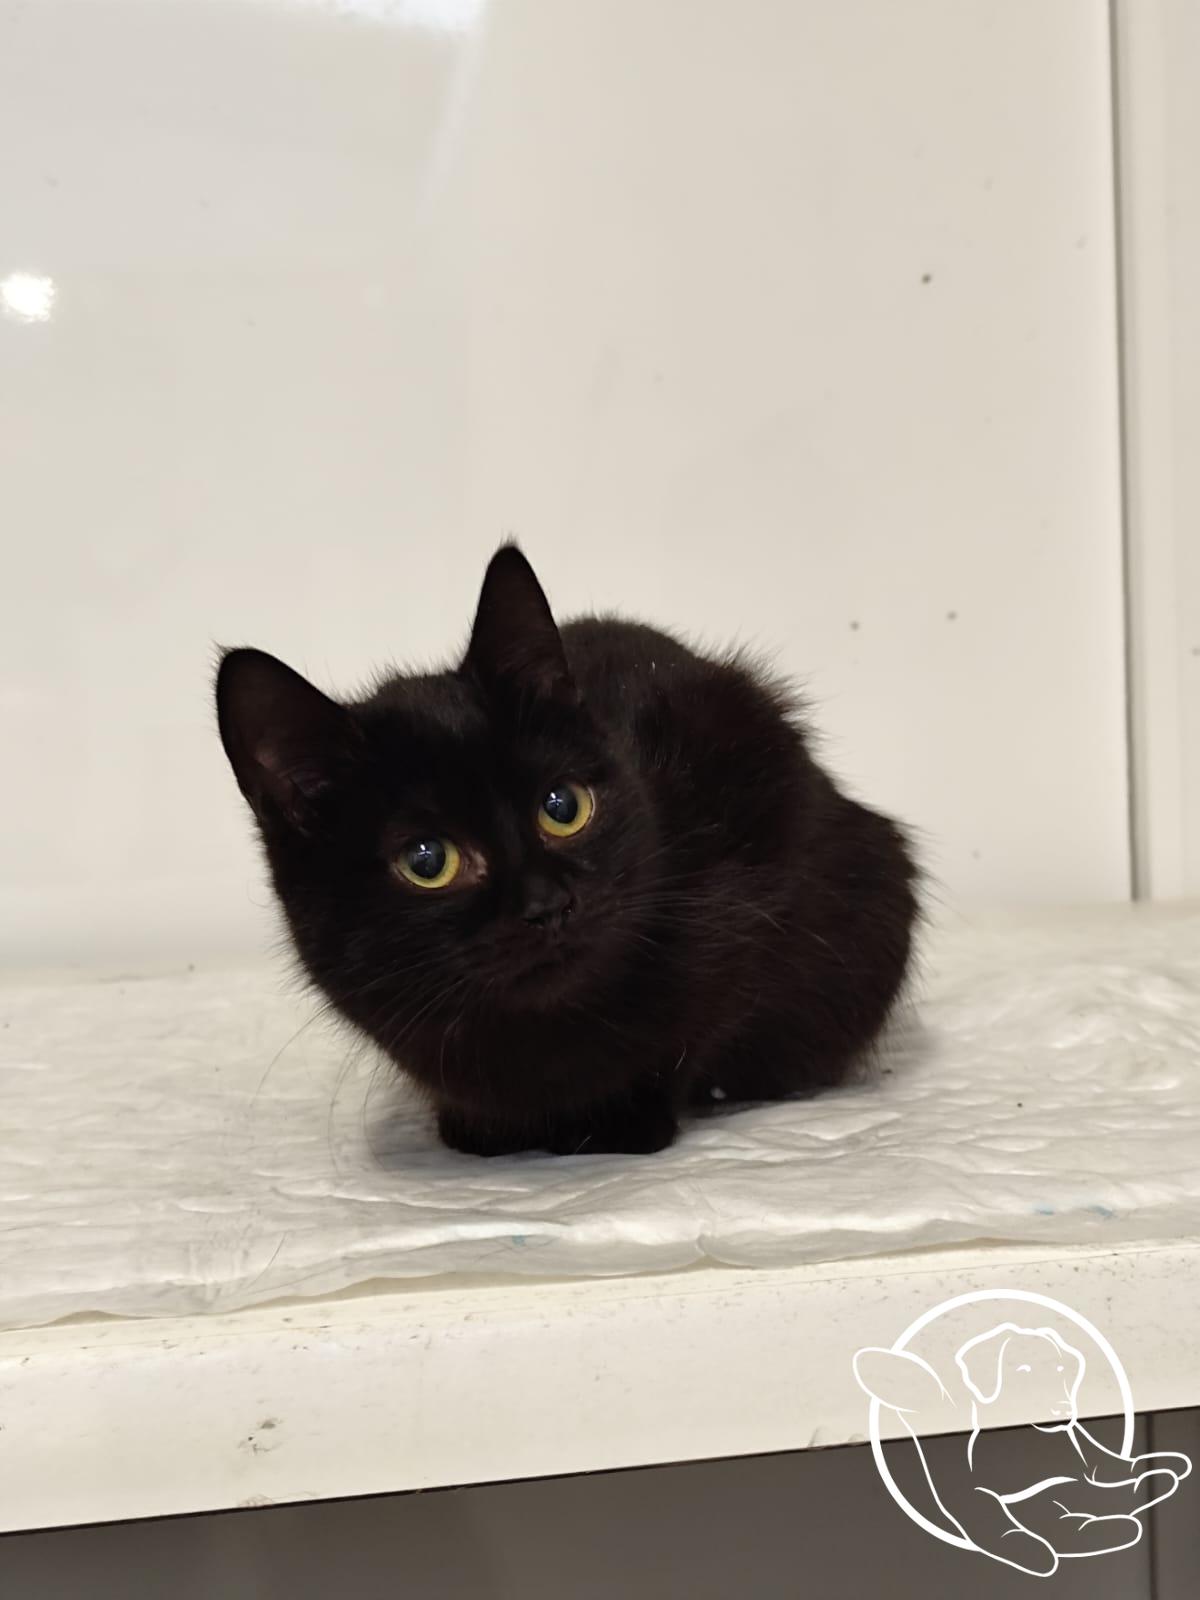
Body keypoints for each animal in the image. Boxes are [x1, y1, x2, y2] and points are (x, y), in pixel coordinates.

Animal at [216, 545, 917, 1156]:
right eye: (427, 861)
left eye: (562, 807)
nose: (548, 903)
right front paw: (482, 1127)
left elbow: (697, 1026)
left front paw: (623, 1120)